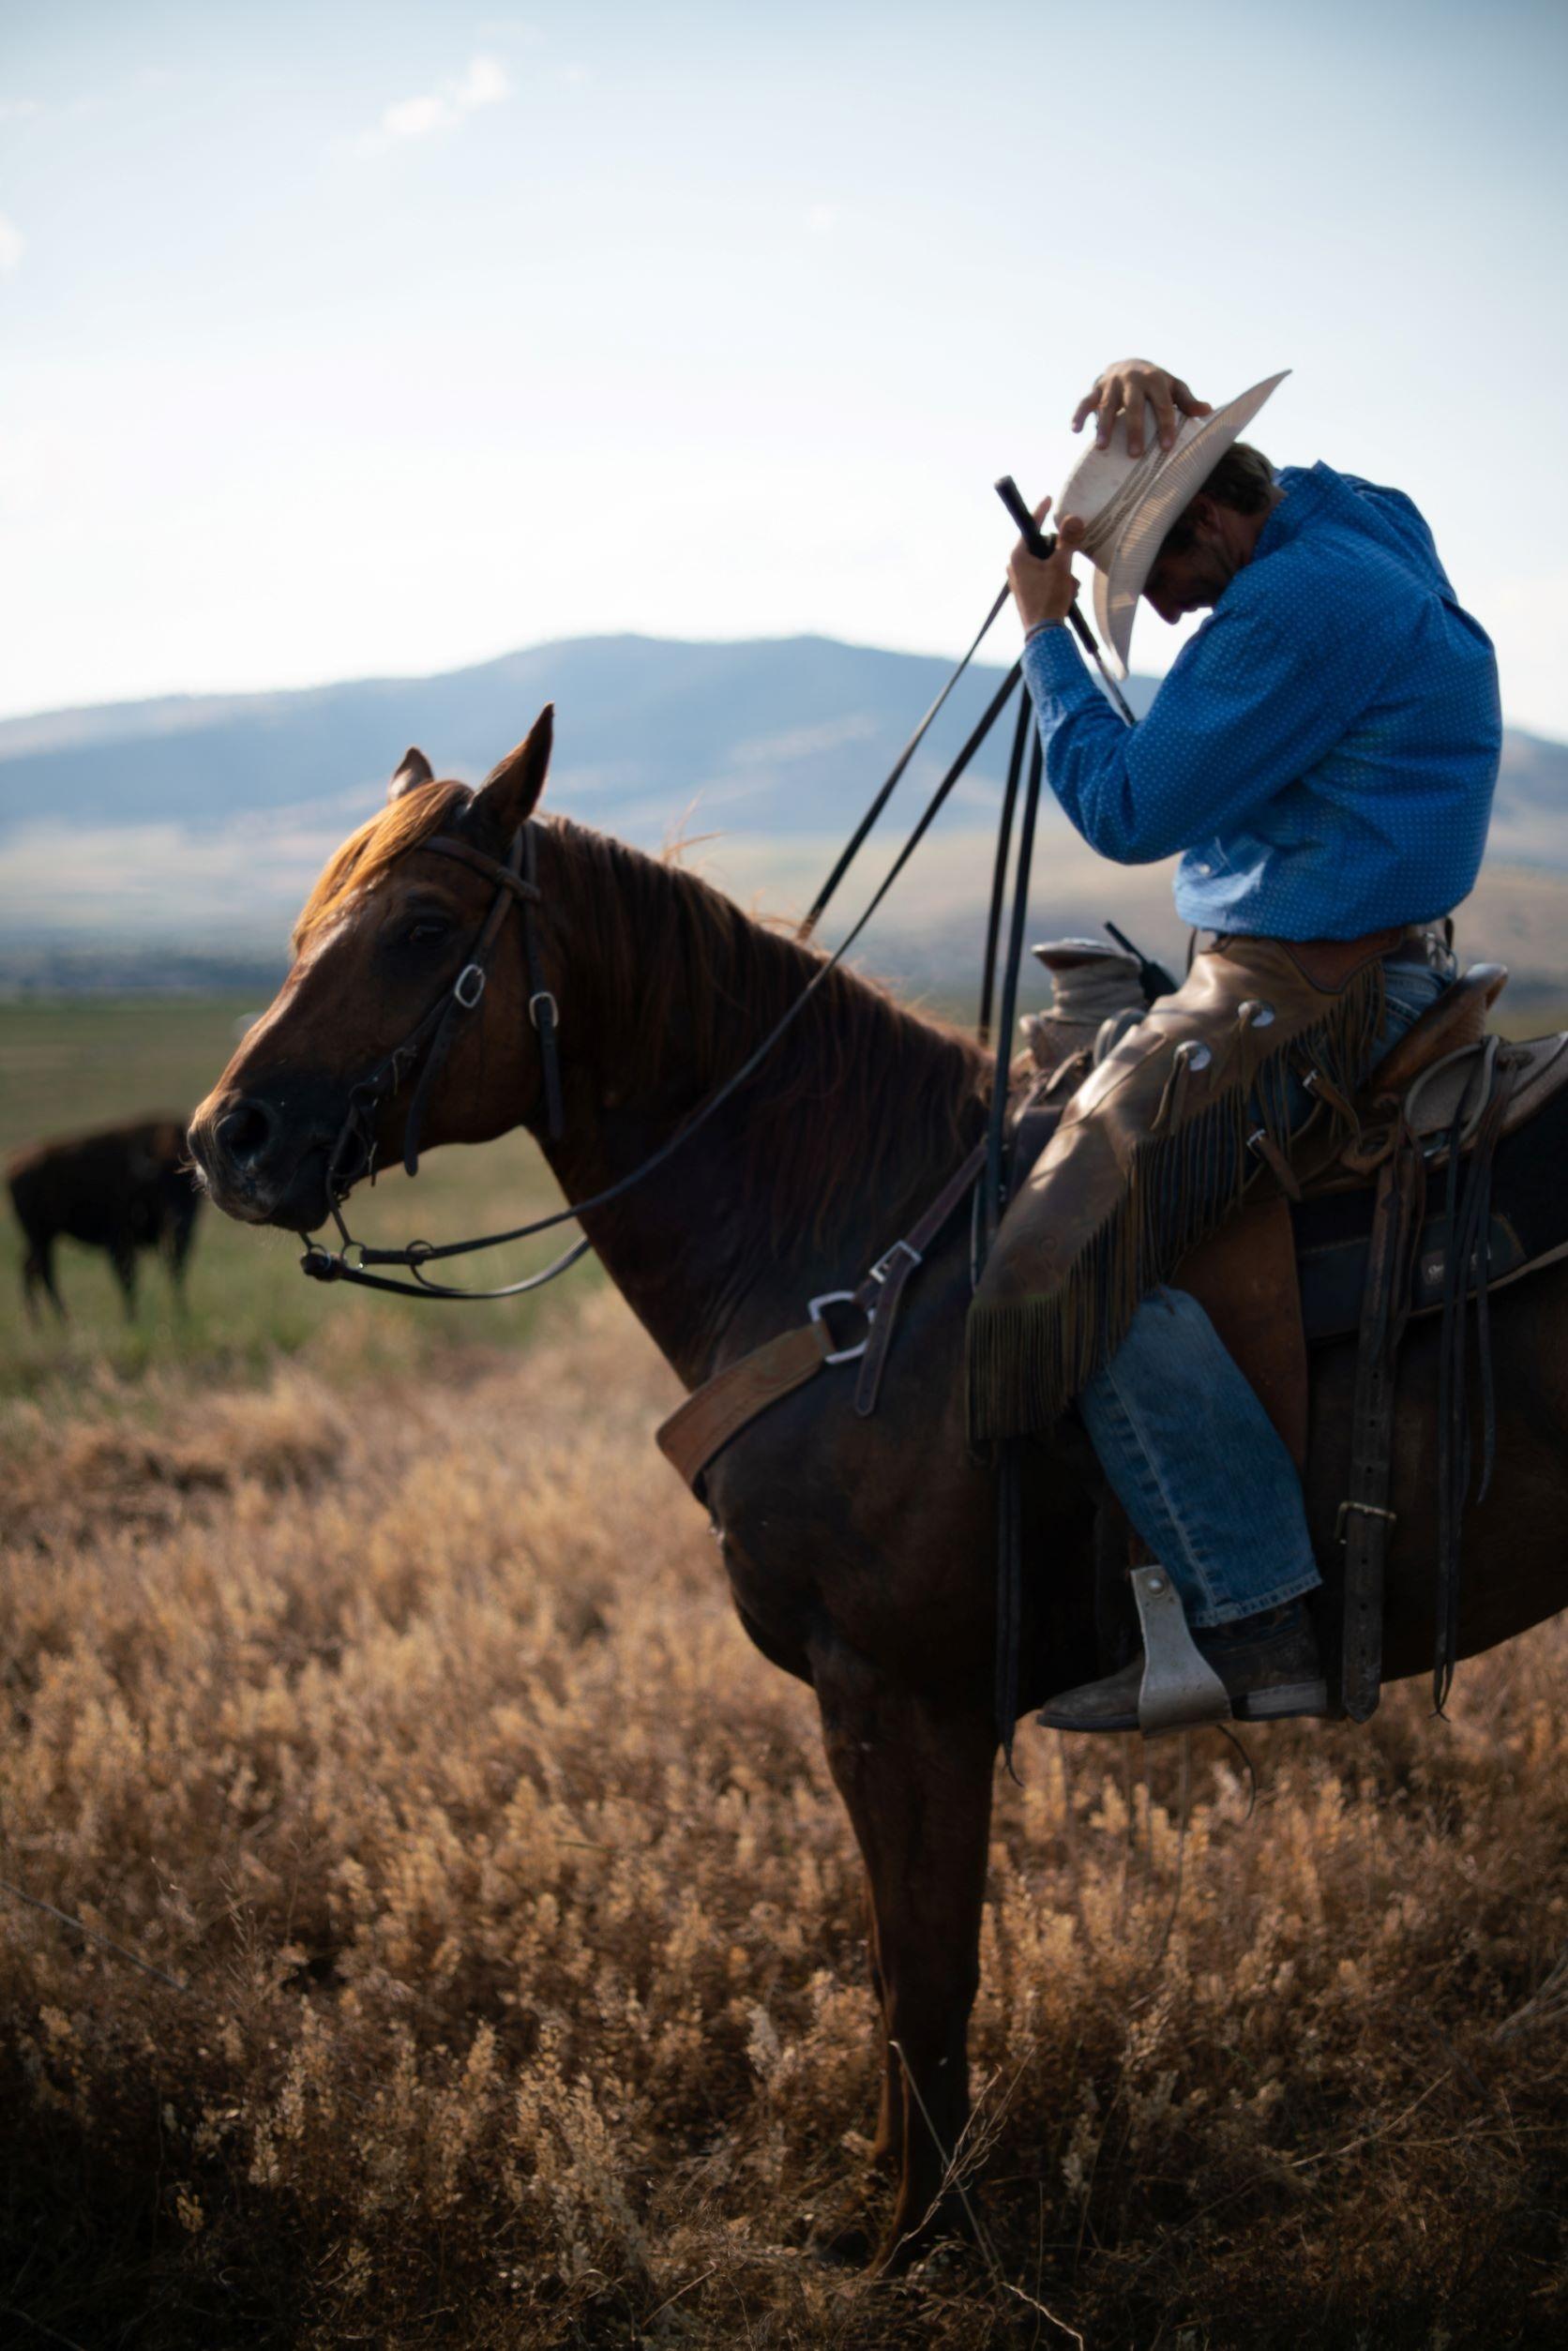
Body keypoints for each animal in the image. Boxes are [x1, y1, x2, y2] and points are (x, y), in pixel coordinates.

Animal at [7, 1119, 202, 1325]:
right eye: (161, 1187)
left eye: (194, 1189)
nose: (180, 1221)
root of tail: (14, 1164)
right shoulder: (119, 1241)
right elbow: (128, 1278)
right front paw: (132, 1319)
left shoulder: (175, 1242)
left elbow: (176, 1273)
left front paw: (182, 1313)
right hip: (41, 1236)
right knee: (44, 1271)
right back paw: (64, 1320)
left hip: (42, 1238)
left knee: (30, 1268)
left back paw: (39, 1323)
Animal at [187, 710, 1568, 2275]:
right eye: (305, 923)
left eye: (423, 925)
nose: (227, 1137)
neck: (856, 1253)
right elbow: (901, 1964)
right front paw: (896, 2207)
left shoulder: (900, 1695)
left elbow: (925, 1974)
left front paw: (914, 2237)